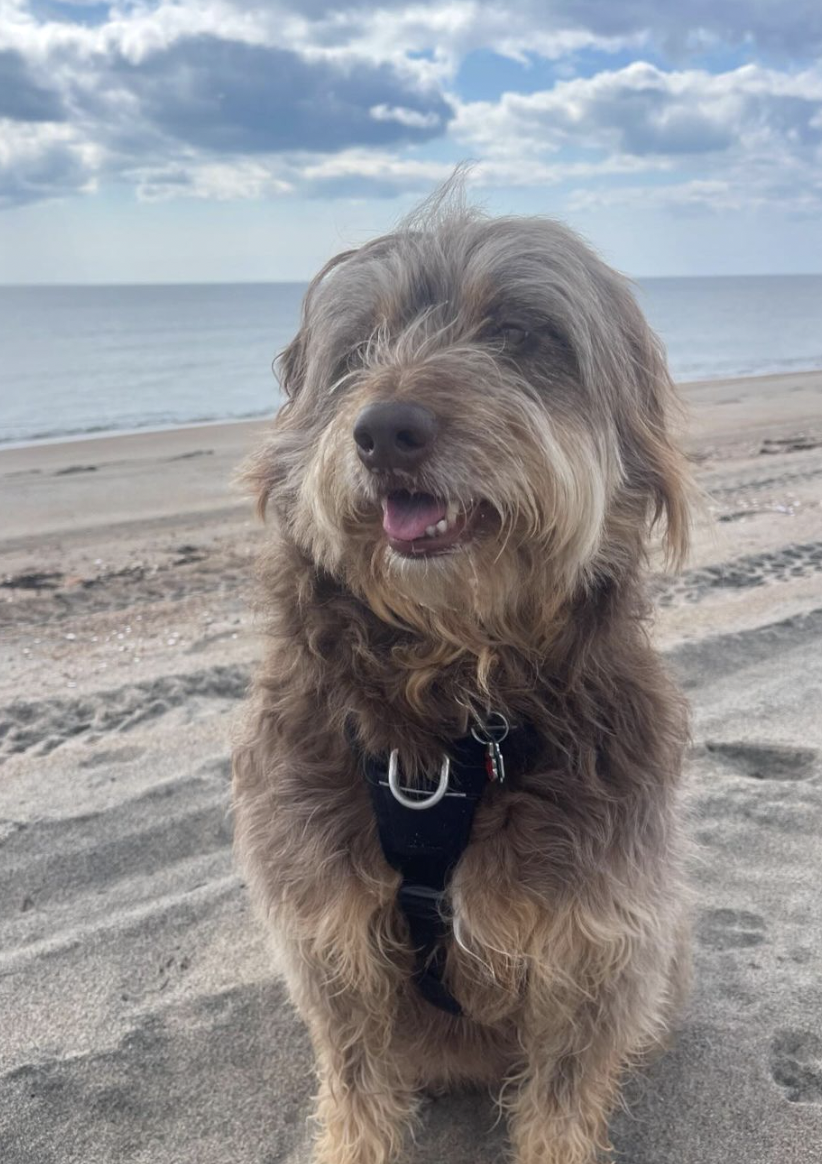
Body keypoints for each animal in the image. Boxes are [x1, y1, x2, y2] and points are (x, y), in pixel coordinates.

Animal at [231, 183, 689, 1164]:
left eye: (518, 332)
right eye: (359, 348)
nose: (385, 430)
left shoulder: (597, 944)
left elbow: (561, 1098)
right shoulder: (328, 936)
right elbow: (357, 1086)